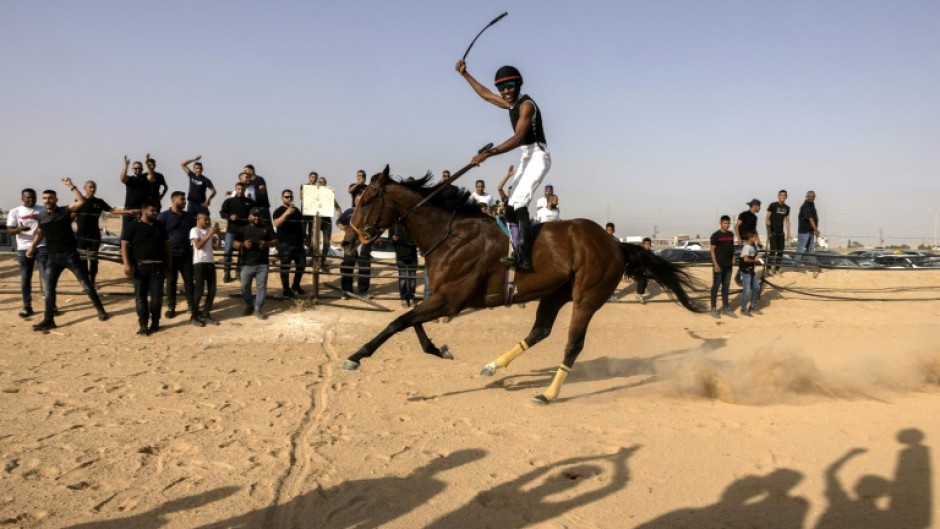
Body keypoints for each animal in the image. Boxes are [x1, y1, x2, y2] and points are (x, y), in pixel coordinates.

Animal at [342, 166, 700, 404]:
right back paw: (492, 366)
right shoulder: (440, 295)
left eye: (367, 200)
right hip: (554, 294)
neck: (451, 234)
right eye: (357, 199)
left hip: (586, 297)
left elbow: (398, 322)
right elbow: (409, 321)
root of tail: (614, 243)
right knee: (540, 331)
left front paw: (356, 356)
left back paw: (548, 393)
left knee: (573, 345)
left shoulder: (450, 298)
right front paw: (439, 349)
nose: (349, 238)